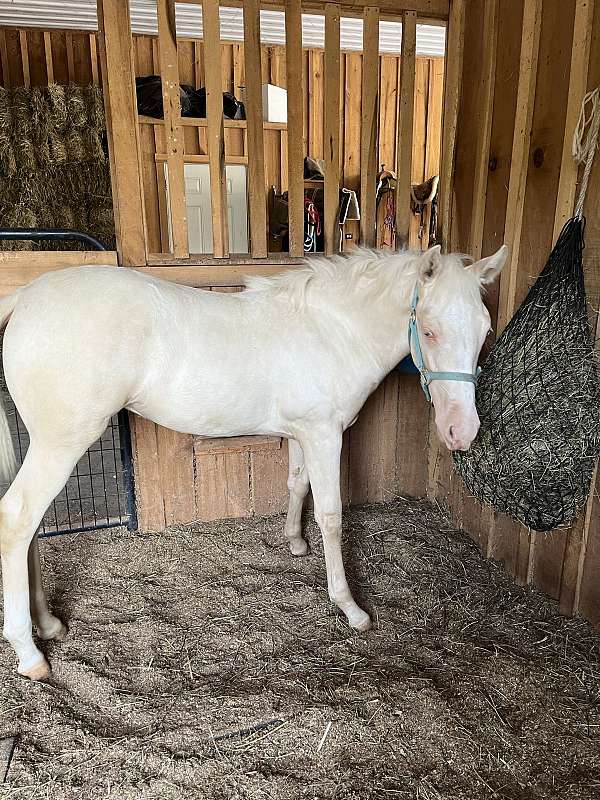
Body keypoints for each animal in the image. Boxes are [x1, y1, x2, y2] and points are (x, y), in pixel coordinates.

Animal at [0, 245, 506, 680]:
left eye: (485, 331)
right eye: (429, 329)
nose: (462, 432)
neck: (331, 332)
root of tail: (26, 297)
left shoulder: (304, 432)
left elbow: (297, 484)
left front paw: (294, 542)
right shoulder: (324, 435)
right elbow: (331, 515)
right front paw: (350, 607)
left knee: (31, 529)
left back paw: (49, 625)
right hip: (61, 443)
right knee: (17, 519)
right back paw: (30, 654)